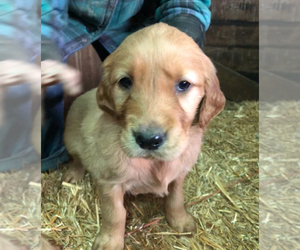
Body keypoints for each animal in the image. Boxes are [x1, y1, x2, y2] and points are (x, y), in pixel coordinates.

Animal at [63, 23, 224, 250]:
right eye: (125, 82)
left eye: (184, 84)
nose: (148, 140)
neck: (153, 163)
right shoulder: (109, 181)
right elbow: (115, 214)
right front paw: (110, 241)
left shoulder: (180, 173)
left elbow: (176, 198)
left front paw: (180, 220)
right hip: (70, 139)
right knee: (77, 158)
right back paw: (73, 175)